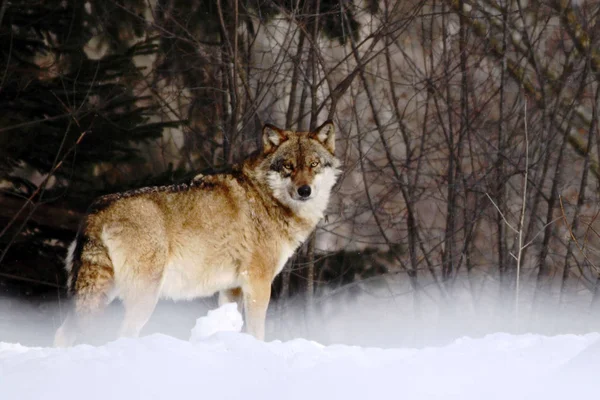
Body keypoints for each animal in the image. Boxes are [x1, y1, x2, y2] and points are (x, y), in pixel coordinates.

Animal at [56, 120, 342, 346]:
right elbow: (256, 332)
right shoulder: (258, 283)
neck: (268, 197)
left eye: (314, 164)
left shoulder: (232, 289)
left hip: (100, 293)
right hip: (144, 296)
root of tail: (96, 209)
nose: (304, 191)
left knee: (63, 333)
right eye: (289, 167)